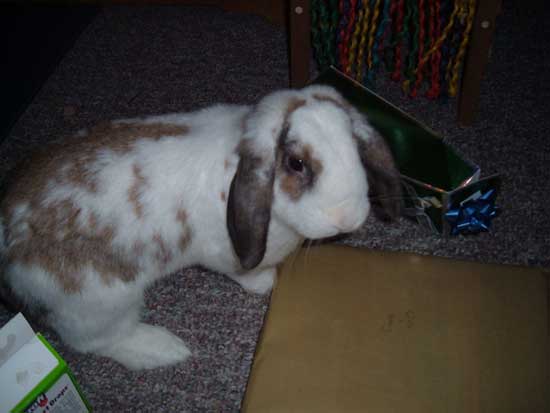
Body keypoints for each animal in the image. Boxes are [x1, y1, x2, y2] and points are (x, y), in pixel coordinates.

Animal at [2, 85, 404, 368]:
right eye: (296, 163)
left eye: (355, 148)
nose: (348, 217)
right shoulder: (226, 255)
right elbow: (246, 274)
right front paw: (265, 283)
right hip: (99, 301)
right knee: (97, 341)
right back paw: (165, 350)